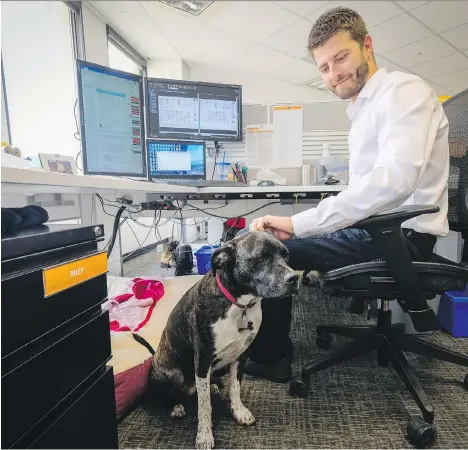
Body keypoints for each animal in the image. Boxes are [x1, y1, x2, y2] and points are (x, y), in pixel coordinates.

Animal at [148, 230, 298, 448]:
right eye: (261, 257)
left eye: (286, 255)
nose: (294, 278)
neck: (239, 305)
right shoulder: (202, 360)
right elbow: (205, 406)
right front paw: (204, 435)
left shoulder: (241, 355)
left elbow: (235, 387)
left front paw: (239, 411)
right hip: (173, 374)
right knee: (162, 396)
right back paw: (175, 406)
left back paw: (212, 387)